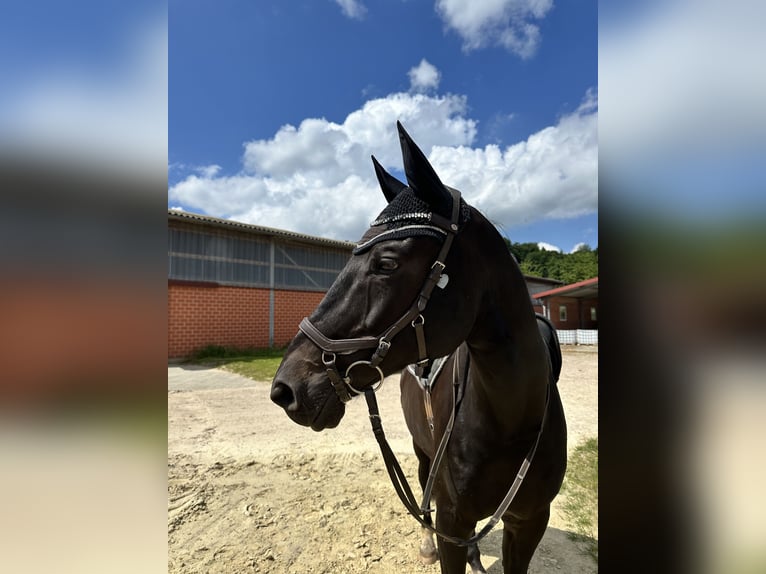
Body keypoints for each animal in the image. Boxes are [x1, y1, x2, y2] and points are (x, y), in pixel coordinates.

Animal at [272, 122, 568, 574]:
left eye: (387, 263)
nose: (285, 388)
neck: (512, 416)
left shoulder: (530, 521)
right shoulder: (451, 518)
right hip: (422, 452)